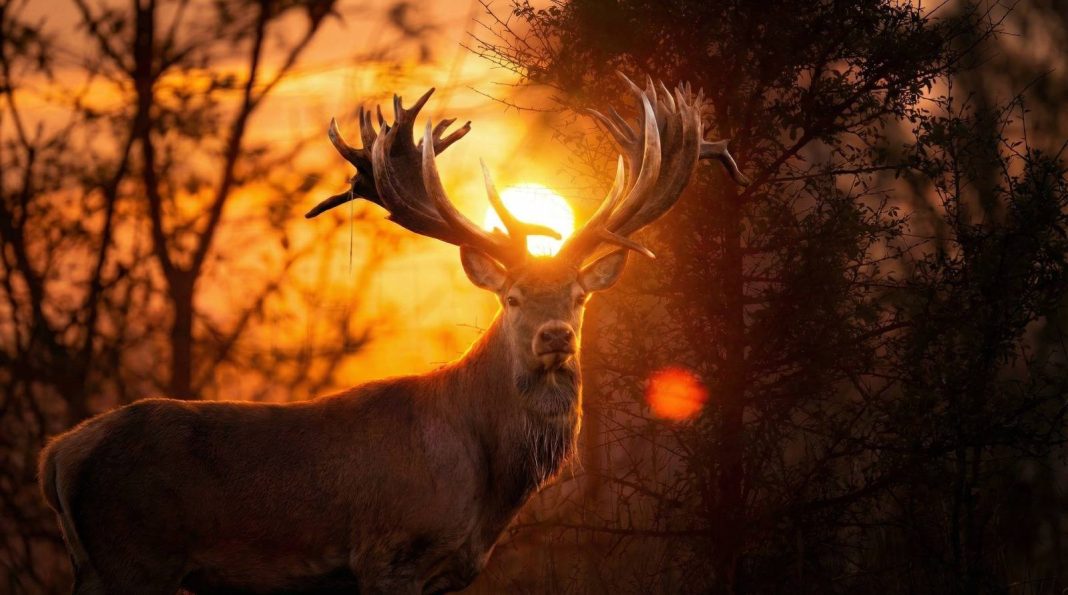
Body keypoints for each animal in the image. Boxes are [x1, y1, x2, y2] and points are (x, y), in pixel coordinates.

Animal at [38, 73, 747, 595]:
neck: (485, 483)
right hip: (134, 557)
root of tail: (57, 456)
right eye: (512, 296)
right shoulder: (390, 552)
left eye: (579, 297)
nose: (553, 337)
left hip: (99, 566)